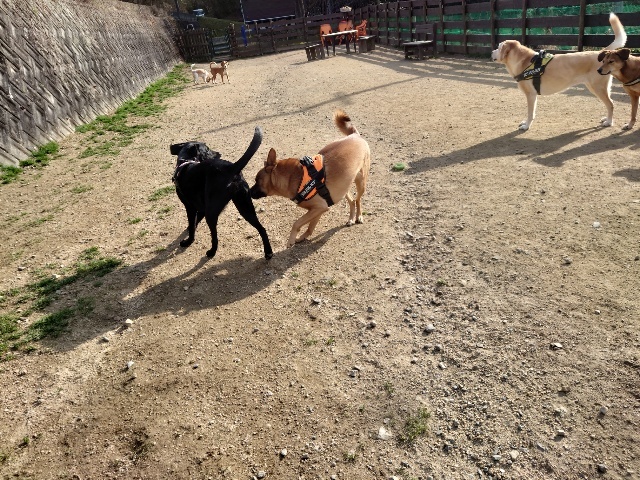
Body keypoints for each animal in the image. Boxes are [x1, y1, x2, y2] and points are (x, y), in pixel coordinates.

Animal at [170, 127, 273, 259]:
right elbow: (195, 223)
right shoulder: (201, 208)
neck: (186, 163)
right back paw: (268, 252)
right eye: (207, 149)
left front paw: (188, 241)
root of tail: (231, 168)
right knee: (262, 229)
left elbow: (192, 226)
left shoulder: (190, 207)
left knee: (215, 237)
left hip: (212, 213)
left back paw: (211, 252)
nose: (219, 154)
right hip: (245, 207)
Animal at [249, 110, 370, 247]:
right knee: (351, 200)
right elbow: (310, 228)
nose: (249, 191)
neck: (295, 176)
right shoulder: (320, 209)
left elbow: (297, 223)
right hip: (344, 186)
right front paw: (302, 237)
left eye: (257, 180)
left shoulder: (319, 208)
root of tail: (355, 135)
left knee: (358, 199)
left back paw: (359, 216)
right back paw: (350, 218)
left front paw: (291, 240)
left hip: (361, 182)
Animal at [491, 13, 627, 131]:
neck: (525, 61)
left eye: (498, 47)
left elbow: (530, 113)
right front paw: (526, 123)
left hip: (598, 88)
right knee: (610, 104)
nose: (491, 52)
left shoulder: (531, 95)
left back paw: (609, 122)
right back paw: (606, 119)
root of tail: (601, 53)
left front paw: (526, 126)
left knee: (611, 104)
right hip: (595, 87)